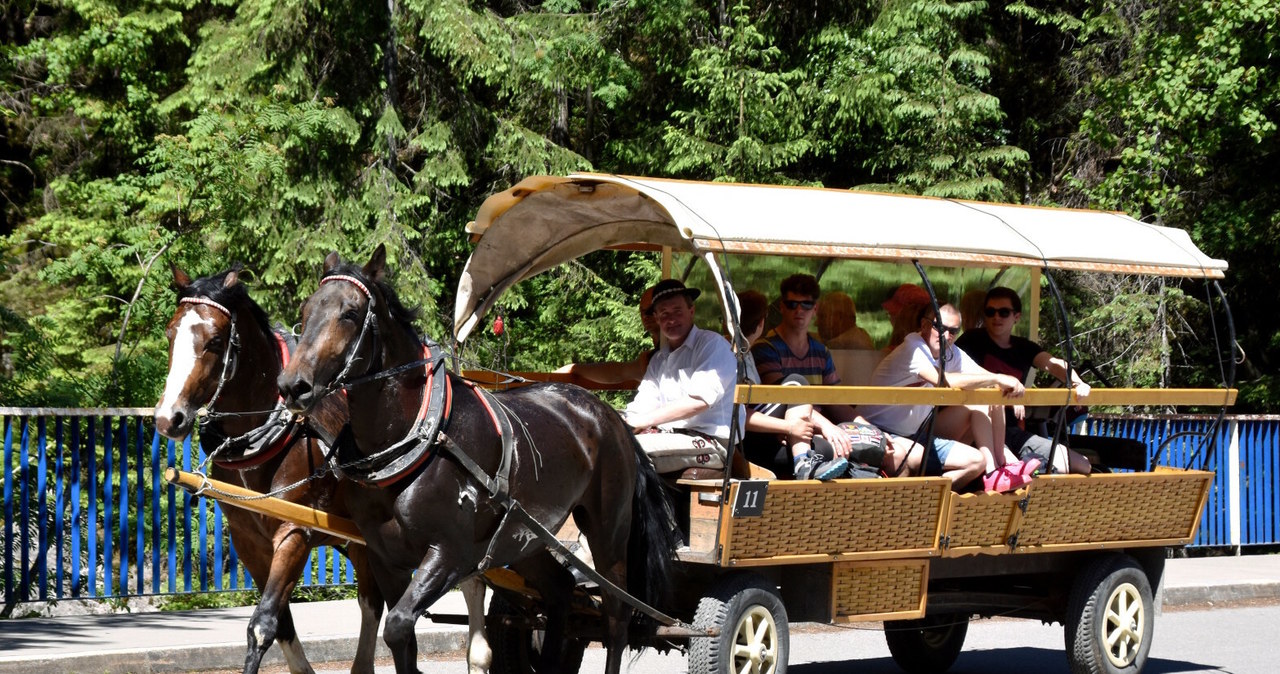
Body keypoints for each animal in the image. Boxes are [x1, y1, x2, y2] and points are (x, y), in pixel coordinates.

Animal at [152, 267, 381, 674]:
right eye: (170, 333)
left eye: (215, 341)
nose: (168, 418)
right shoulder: (249, 542)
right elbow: (282, 621)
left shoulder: (295, 532)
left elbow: (262, 624)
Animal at [277, 248, 680, 674]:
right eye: (306, 309)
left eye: (350, 313)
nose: (292, 385)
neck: (414, 436)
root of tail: (614, 418)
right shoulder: (385, 557)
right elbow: (403, 642)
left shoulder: (450, 554)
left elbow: (398, 626)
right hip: (525, 538)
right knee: (561, 590)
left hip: (608, 531)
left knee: (616, 615)